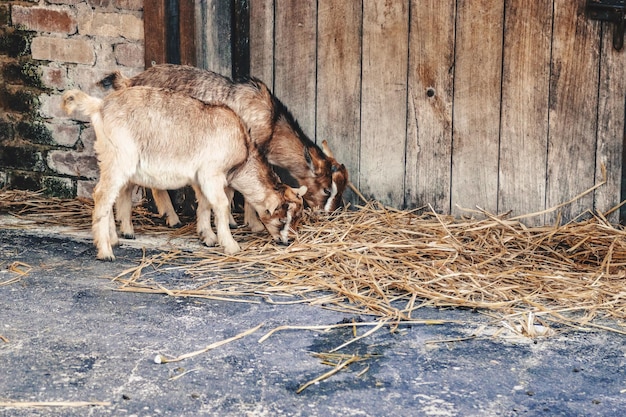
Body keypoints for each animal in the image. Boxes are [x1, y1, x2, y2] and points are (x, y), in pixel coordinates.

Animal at [62, 86, 306, 258]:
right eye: (282, 219)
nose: (288, 241)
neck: (242, 150)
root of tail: (100, 105)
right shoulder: (211, 173)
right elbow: (221, 205)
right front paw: (230, 245)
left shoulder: (200, 178)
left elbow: (205, 204)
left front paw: (207, 237)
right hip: (119, 158)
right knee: (102, 195)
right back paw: (105, 251)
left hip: (110, 160)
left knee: (110, 196)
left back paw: (115, 239)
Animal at [100, 65, 348, 226]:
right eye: (327, 189)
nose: (331, 214)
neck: (272, 123)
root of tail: (128, 82)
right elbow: (234, 192)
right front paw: (241, 223)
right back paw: (169, 219)